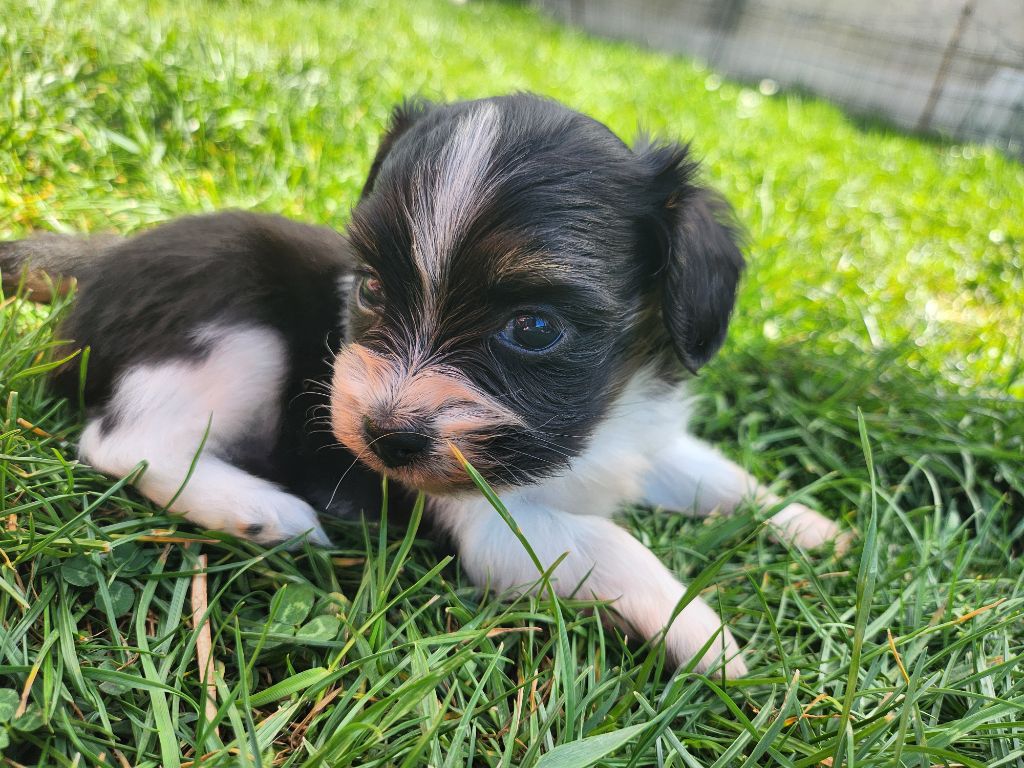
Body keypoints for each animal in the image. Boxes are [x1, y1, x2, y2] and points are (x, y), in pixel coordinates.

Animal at [1, 94, 847, 677]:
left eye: (533, 328)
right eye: (372, 290)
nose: (383, 438)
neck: (592, 426)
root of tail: (104, 262)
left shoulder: (645, 444)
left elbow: (719, 477)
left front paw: (811, 526)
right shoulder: (498, 527)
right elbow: (612, 541)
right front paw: (708, 636)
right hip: (232, 329)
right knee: (121, 441)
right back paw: (263, 510)